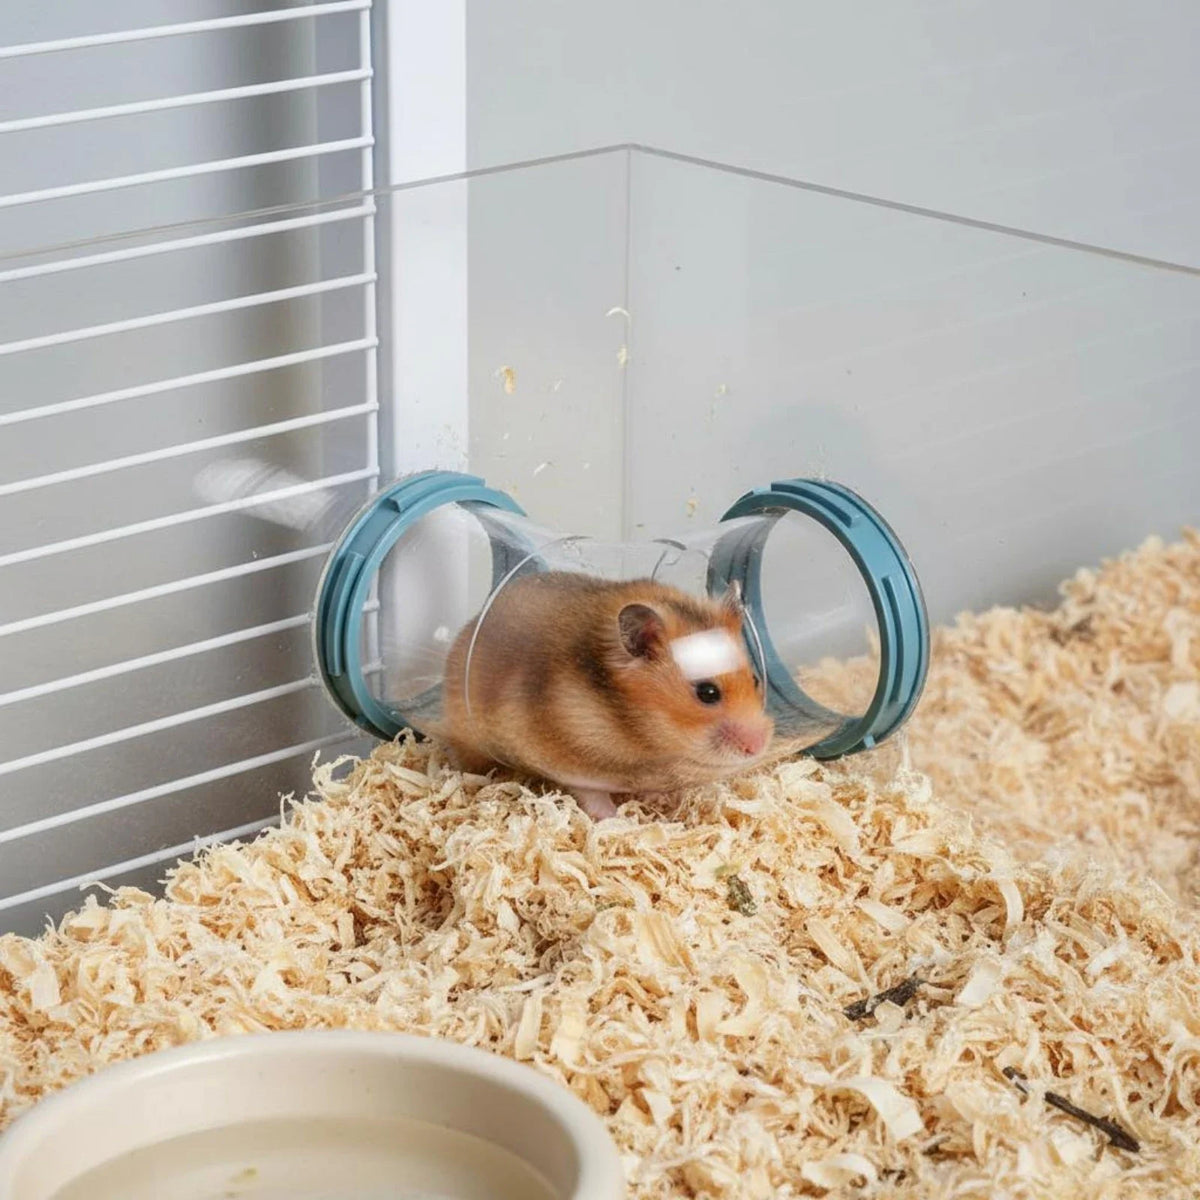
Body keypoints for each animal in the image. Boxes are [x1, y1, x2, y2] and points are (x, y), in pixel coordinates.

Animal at [434, 571, 775, 820]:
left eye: (756, 679)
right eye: (707, 692)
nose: (758, 747)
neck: (636, 731)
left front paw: (659, 799)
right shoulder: (566, 758)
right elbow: (591, 793)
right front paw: (616, 819)